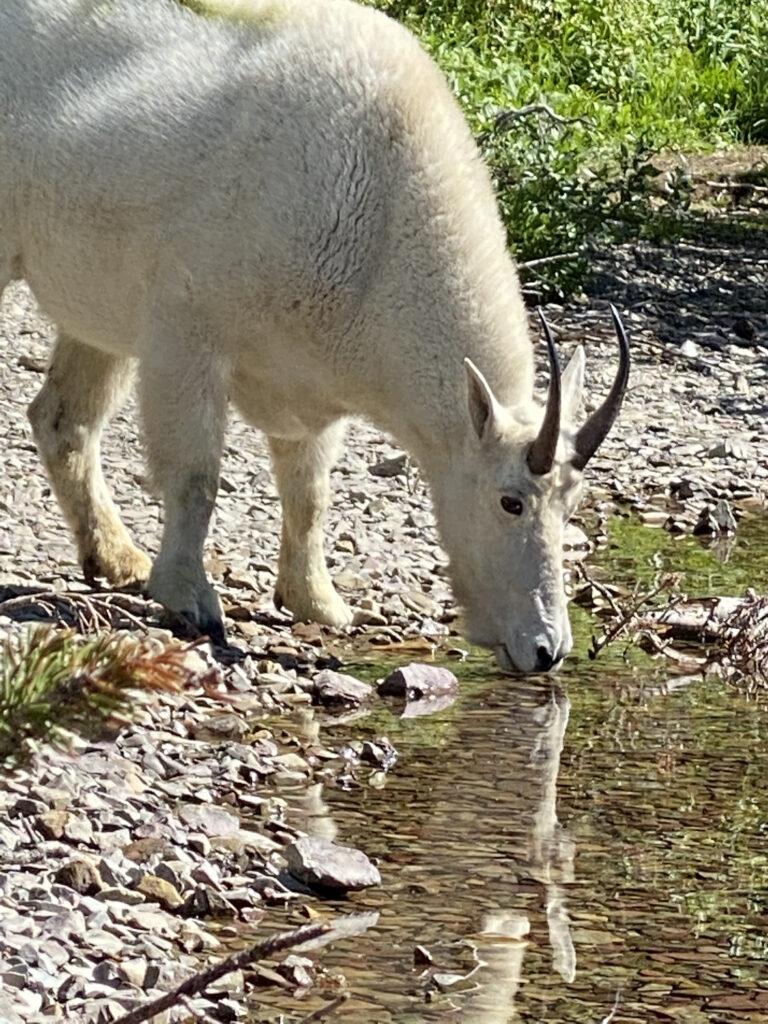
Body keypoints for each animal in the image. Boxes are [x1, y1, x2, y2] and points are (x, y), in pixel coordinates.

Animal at [0, 0, 630, 671]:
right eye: (511, 500)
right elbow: (196, 478)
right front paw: (191, 598)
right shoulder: (185, 333)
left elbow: (310, 492)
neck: (380, 225)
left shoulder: (310, 386)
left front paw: (317, 601)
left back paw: (115, 557)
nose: (547, 649)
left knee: (62, 418)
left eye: (574, 502)